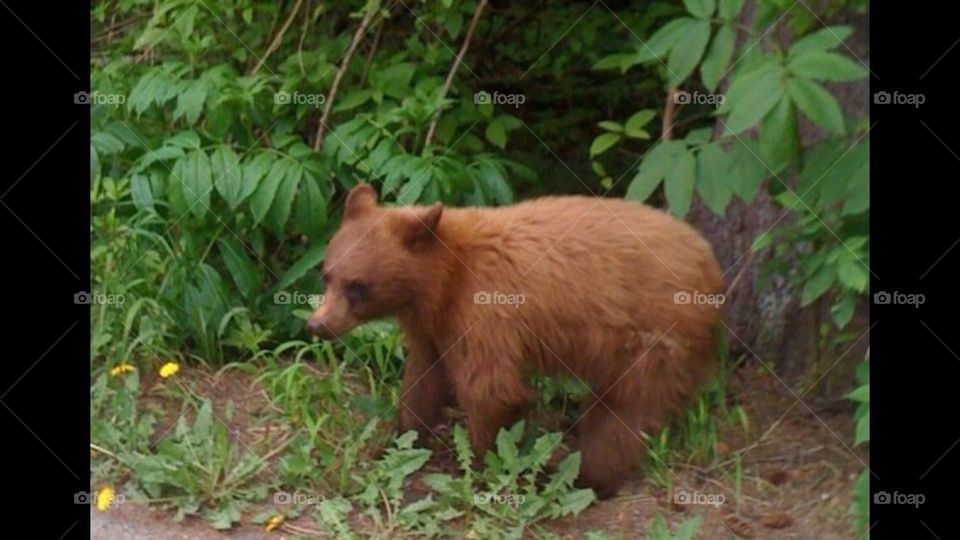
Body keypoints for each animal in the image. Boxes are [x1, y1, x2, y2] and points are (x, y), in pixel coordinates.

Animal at [307, 183, 723, 499]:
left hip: (653, 335)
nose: (317, 324)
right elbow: (423, 378)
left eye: (357, 285)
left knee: (622, 411)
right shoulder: (436, 325)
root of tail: (710, 264)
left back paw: (587, 479)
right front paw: (400, 439)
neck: (443, 276)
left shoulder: (485, 309)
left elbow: (491, 387)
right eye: (327, 274)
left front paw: (478, 465)